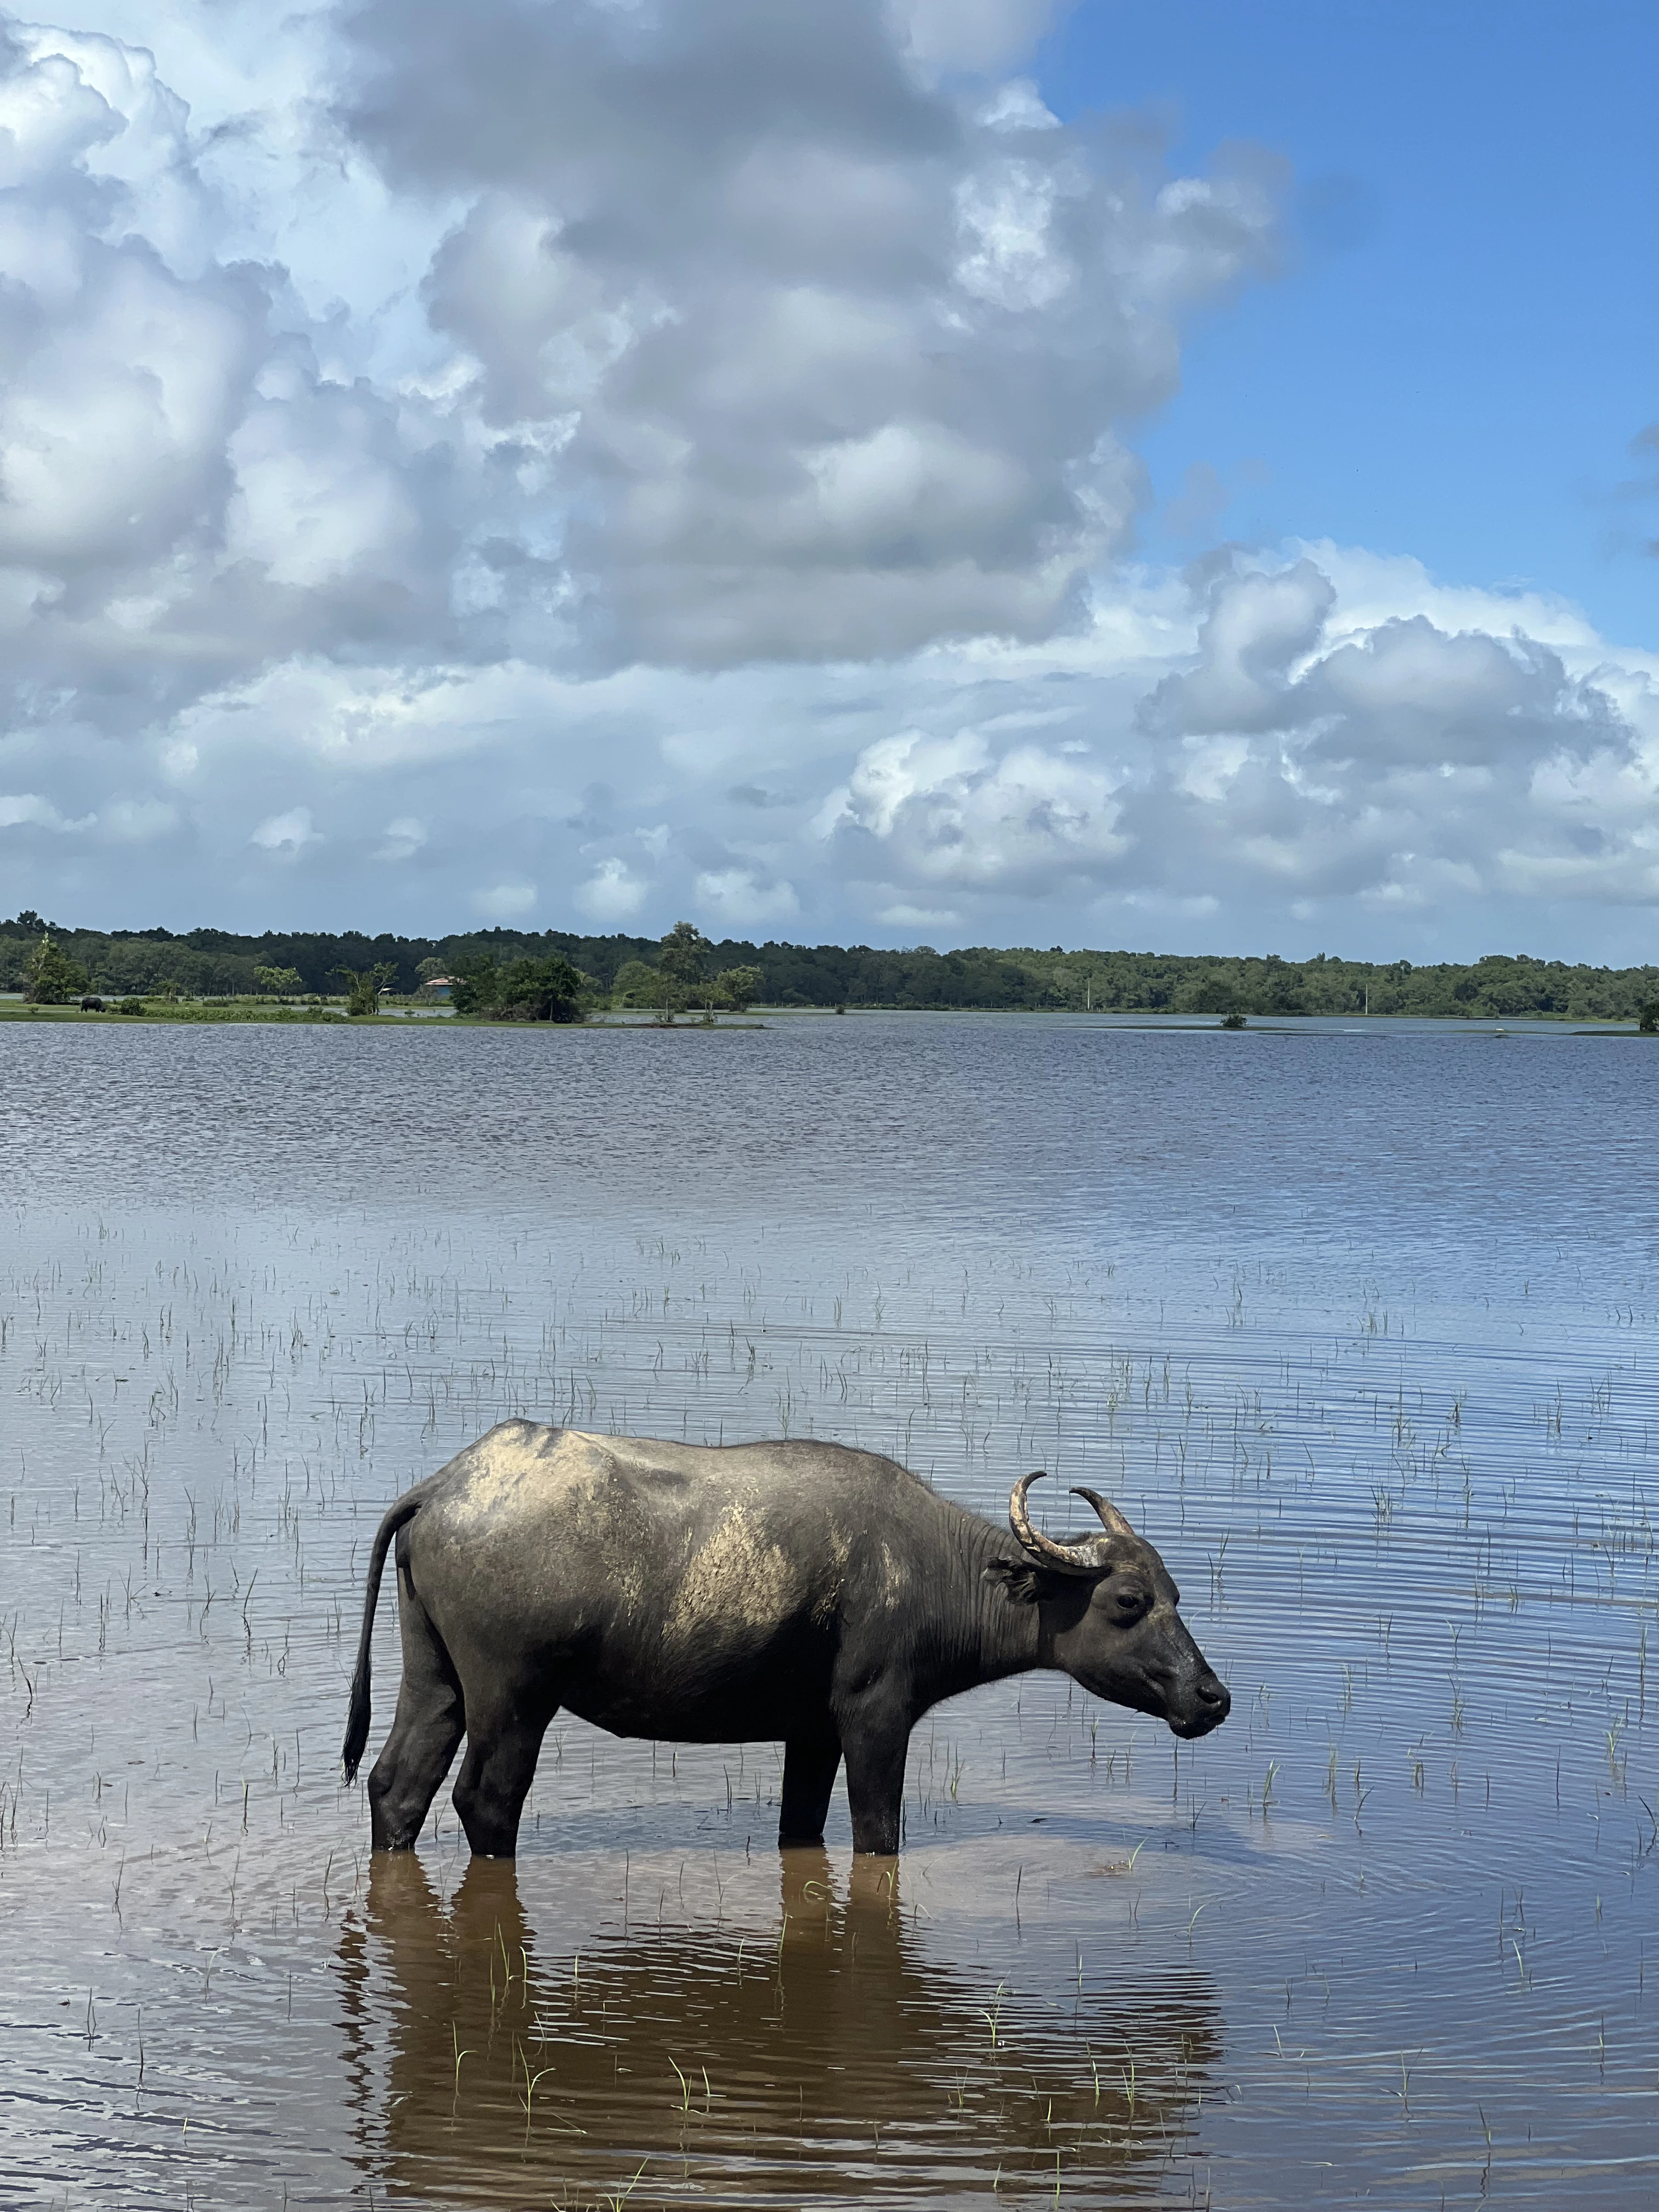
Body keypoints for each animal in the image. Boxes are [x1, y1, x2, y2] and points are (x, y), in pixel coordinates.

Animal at [342, 1421, 1230, 1858]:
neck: (930, 1571)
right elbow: (877, 1837)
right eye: (1128, 1600)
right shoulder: (875, 1718)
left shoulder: (812, 1731)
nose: (1212, 1697)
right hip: (515, 1696)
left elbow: (800, 1824)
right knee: (485, 1800)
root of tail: (444, 1487)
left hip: (435, 1678)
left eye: (1177, 1596)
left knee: (396, 1786)